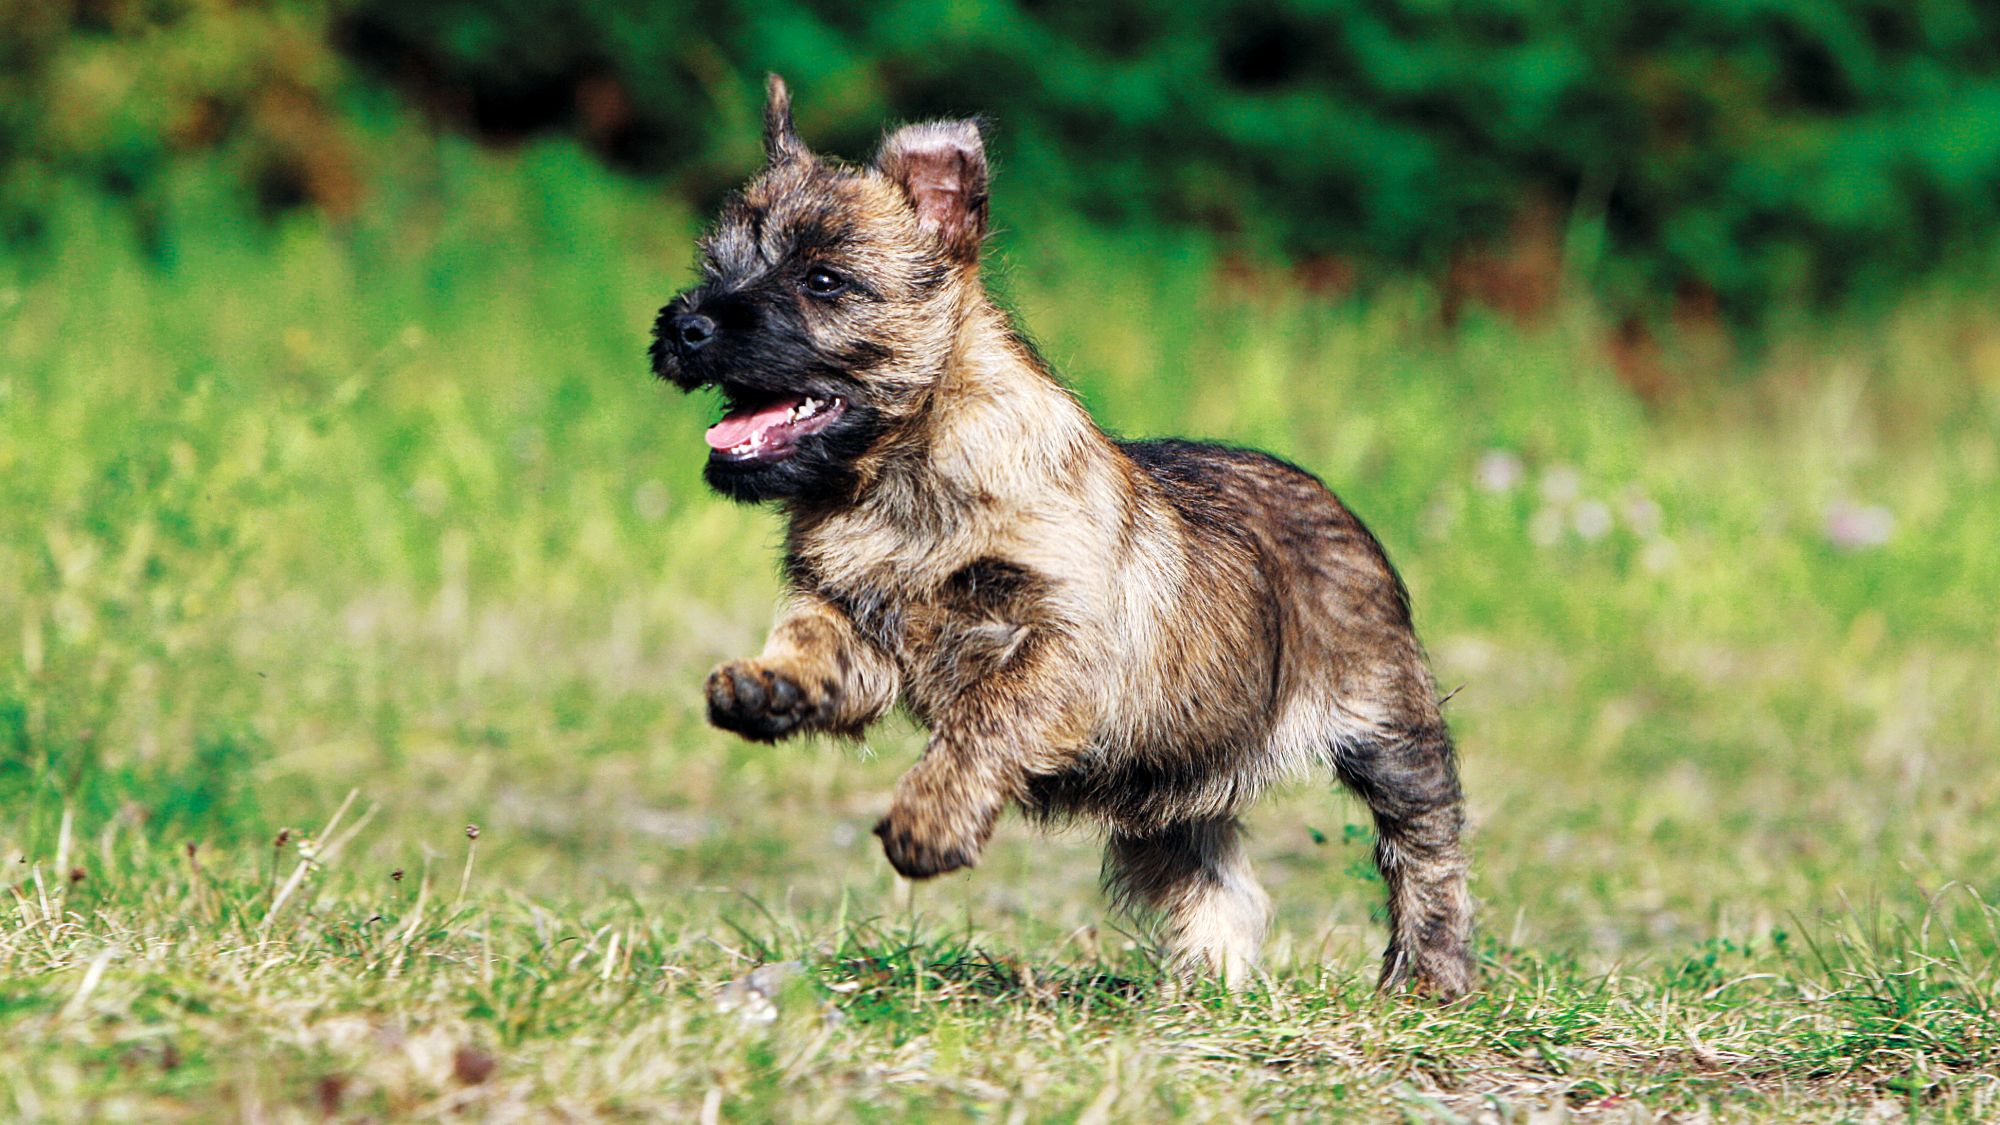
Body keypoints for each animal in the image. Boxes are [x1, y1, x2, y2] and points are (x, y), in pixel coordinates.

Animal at [648, 76, 1480, 988]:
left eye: (825, 280)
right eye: (716, 265)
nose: (686, 325)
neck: (898, 480)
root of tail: (1333, 501)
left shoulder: (1065, 646)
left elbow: (988, 717)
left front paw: (928, 821)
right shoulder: (850, 616)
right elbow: (809, 639)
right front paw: (765, 685)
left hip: (1385, 724)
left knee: (1425, 845)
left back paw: (1429, 975)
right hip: (1172, 797)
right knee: (1221, 884)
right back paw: (1209, 988)